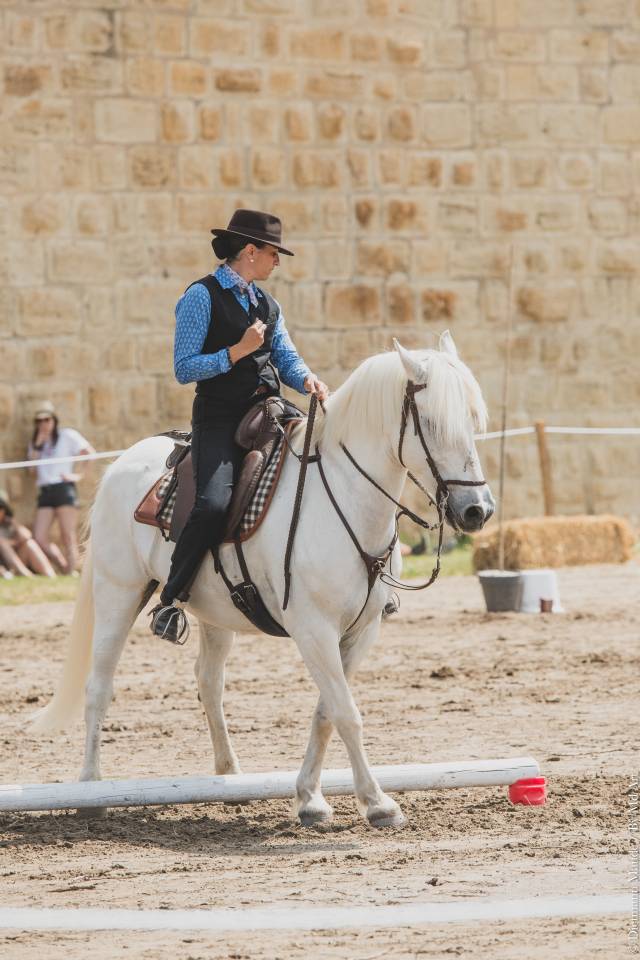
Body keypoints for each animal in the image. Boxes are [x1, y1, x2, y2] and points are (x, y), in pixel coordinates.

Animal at [31, 333, 494, 828]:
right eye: (431, 422)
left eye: (473, 419)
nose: (477, 510)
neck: (343, 498)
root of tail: (124, 462)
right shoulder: (314, 631)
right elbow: (346, 712)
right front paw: (377, 802)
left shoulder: (361, 632)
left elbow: (326, 713)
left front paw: (310, 798)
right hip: (118, 593)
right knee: (99, 687)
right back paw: (90, 789)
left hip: (214, 613)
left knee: (209, 684)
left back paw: (229, 778)